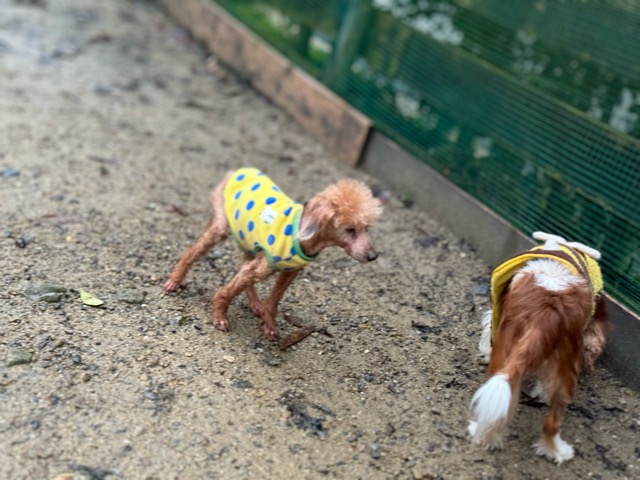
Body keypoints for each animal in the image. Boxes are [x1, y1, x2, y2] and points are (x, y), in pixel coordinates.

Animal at [163, 167, 381, 340]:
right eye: (350, 230)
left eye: (366, 228)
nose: (373, 256)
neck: (303, 235)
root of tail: (238, 171)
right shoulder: (262, 267)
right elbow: (227, 292)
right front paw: (219, 316)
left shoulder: (290, 272)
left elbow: (273, 300)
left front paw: (268, 324)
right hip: (222, 226)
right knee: (193, 252)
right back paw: (175, 280)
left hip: (248, 241)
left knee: (244, 266)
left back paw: (254, 303)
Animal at [468, 232, 610, 464]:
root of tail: (549, 307)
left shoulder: (496, 318)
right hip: (564, 363)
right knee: (551, 422)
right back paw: (556, 451)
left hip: (507, 350)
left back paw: (484, 435)